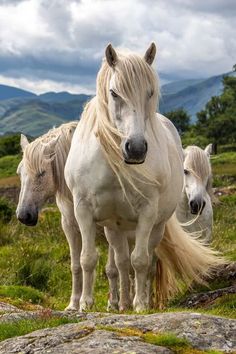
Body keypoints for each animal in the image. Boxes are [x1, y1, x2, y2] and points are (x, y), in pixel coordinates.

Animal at [15, 121, 82, 310]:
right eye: (19, 173)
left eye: (41, 173)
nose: (23, 215)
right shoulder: (70, 227)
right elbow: (76, 265)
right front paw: (73, 305)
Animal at [64, 42, 221, 312]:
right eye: (114, 92)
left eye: (150, 92)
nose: (136, 149)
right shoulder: (82, 210)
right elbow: (88, 258)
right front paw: (85, 304)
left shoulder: (147, 213)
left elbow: (140, 261)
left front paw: (141, 305)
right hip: (114, 228)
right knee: (121, 262)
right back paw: (123, 303)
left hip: (155, 227)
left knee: (147, 262)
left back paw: (139, 300)